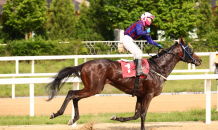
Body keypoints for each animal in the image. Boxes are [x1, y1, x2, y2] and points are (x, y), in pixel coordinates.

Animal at [45, 38, 202, 129]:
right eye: (190, 49)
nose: (199, 60)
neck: (158, 68)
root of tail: (84, 64)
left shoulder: (140, 95)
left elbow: (136, 115)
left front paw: (116, 118)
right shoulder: (149, 95)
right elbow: (143, 114)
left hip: (91, 88)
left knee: (75, 97)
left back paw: (73, 119)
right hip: (94, 88)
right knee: (72, 93)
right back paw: (57, 114)